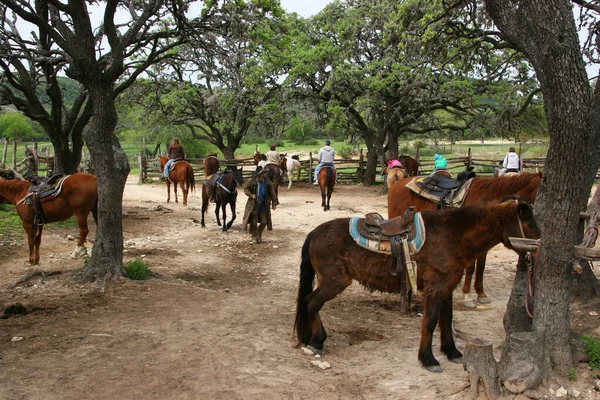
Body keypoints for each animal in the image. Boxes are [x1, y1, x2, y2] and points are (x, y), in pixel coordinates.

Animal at [294, 197, 540, 372]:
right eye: (528, 222)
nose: (540, 248)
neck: (453, 235)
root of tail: (315, 232)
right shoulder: (435, 288)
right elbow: (430, 322)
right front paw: (428, 359)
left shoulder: (447, 287)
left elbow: (446, 320)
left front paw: (452, 352)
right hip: (334, 282)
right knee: (311, 302)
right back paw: (317, 342)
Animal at [386, 172, 540, 306]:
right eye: (528, 221)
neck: (487, 197)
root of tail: (397, 184)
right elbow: (471, 268)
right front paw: (467, 296)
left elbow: (481, 267)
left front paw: (481, 293)